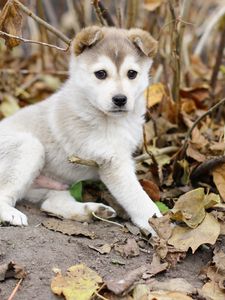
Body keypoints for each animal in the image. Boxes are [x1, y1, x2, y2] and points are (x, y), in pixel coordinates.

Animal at [0, 26, 162, 234]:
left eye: (132, 73)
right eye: (101, 74)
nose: (120, 99)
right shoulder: (113, 162)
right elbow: (138, 198)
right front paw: (158, 222)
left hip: (51, 186)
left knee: (51, 204)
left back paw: (93, 211)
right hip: (29, 148)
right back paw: (11, 214)